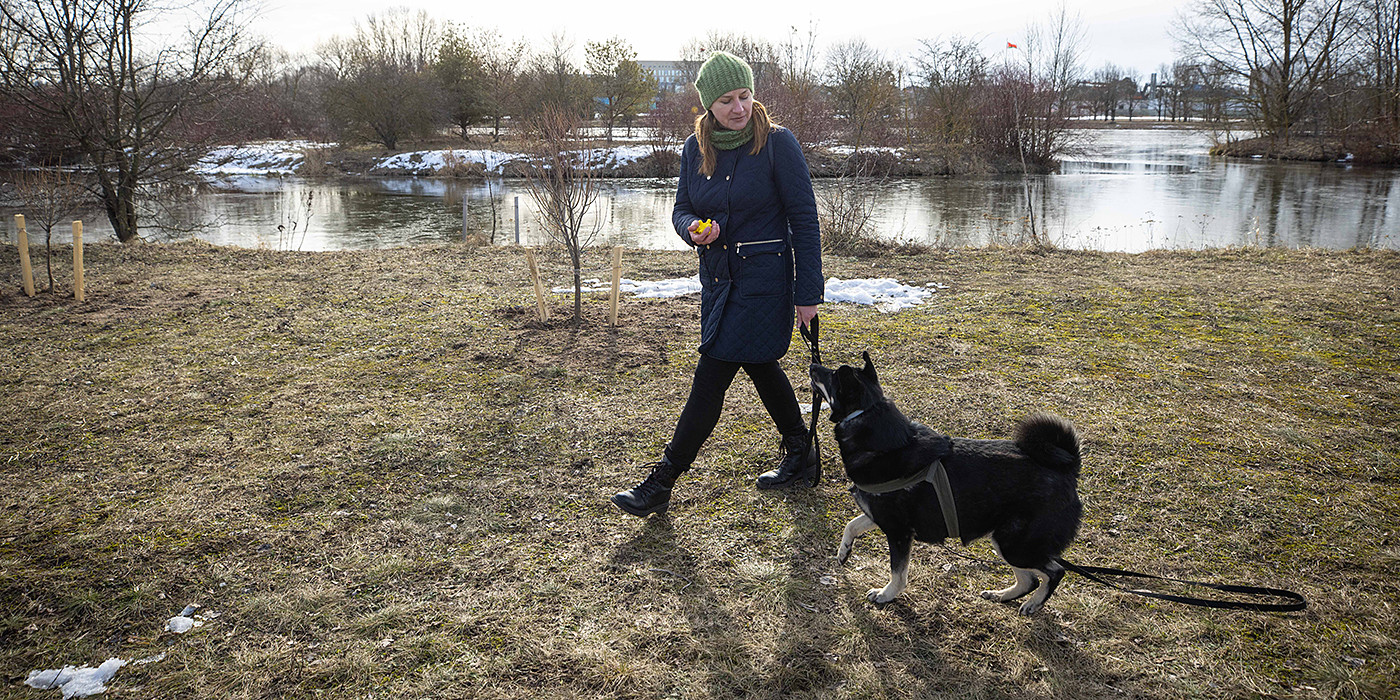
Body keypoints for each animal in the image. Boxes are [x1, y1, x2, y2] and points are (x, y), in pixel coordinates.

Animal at [817, 352, 1086, 616]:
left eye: (831, 376)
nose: (812, 365)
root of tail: (1069, 468)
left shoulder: (899, 532)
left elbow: (898, 574)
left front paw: (886, 594)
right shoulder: (881, 518)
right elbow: (851, 526)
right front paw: (844, 551)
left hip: (1016, 545)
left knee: (1055, 571)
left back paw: (1034, 603)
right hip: (1004, 541)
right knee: (1029, 580)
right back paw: (1001, 596)